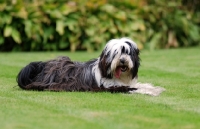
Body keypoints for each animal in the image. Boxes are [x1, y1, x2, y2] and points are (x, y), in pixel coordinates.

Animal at [16, 37, 165, 95]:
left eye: (127, 53)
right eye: (116, 53)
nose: (123, 60)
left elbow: (140, 85)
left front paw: (155, 88)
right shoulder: (111, 87)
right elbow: (133, 88)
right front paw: (151, 92)